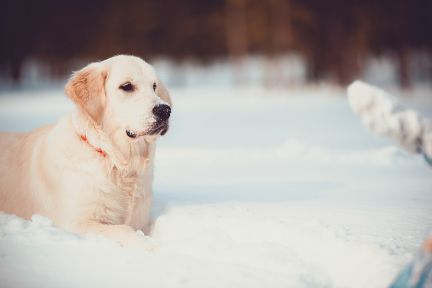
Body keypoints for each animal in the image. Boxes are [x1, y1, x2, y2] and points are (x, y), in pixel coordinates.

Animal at [0, 54, 172, 248]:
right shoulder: (77, 222)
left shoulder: (141, 219)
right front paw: (151, 246)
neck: (117, 162)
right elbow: (123, 229)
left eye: (154, 86)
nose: (165, 110)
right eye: (127, 86)